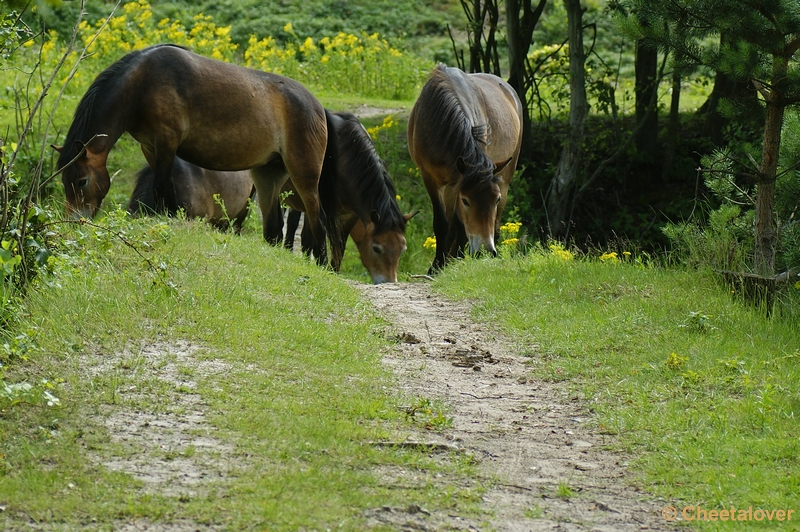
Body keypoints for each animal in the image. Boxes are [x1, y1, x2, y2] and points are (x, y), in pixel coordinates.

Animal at [406, 64, 524, 274]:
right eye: (466, 201)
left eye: (495, 200)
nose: (485, 250)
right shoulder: (432, 179)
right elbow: (443, 223)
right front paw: (438, 265)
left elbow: (458, 224)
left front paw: (453, 260)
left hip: (505, 178)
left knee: (494, 224)